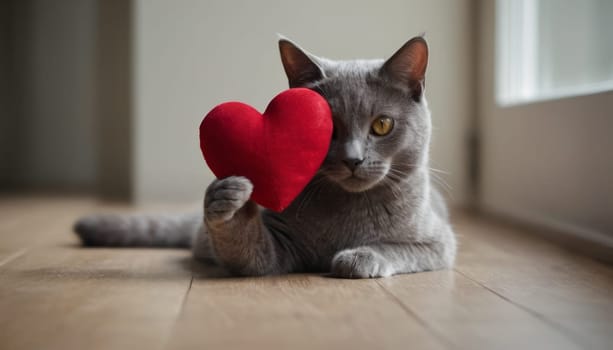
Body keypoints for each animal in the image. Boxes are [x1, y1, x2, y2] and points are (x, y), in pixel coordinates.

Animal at [75, 36, 454, 278]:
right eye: (328, 127)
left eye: (382, 125)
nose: (353, 159)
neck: (347, 212)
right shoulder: (278, 247)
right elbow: (249, 251)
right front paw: (231, 199)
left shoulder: (438, 241)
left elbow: (397, 248)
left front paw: (360, 257)